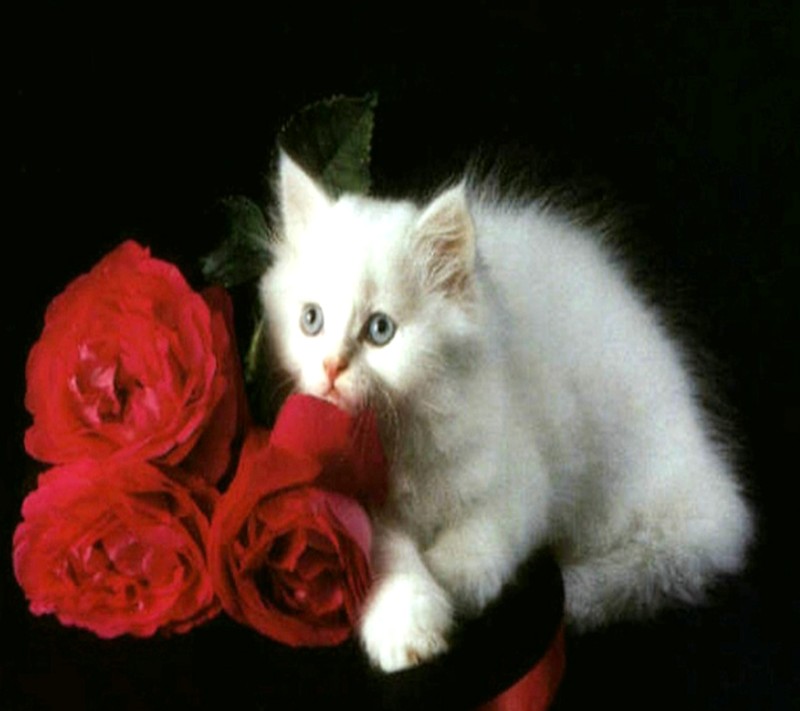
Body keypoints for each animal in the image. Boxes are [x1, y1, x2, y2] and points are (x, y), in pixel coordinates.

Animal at [260, 150, 752, 672]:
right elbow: (386, 556)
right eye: (311, 320)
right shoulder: (353, 501)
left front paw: (450, 576)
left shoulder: (521, 471)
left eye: (380, 330)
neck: (396, 435)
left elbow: (488, 530)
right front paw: (408, 629)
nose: (331, 366)